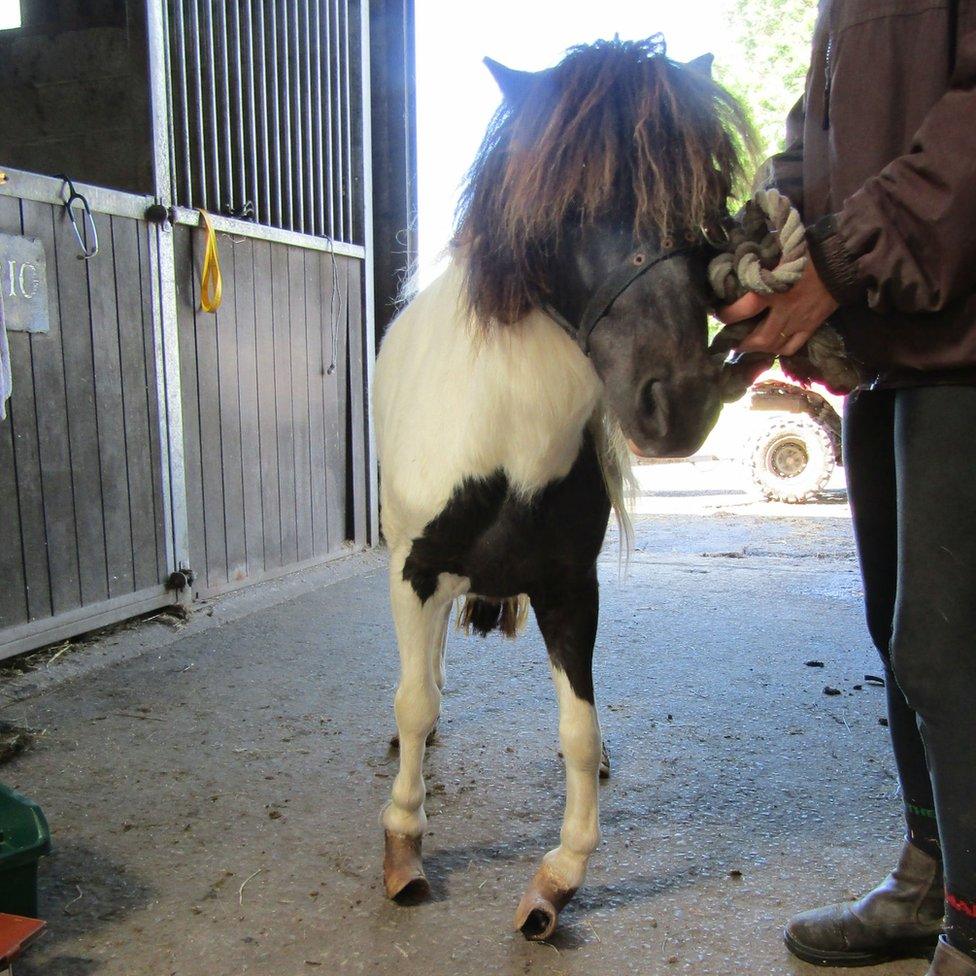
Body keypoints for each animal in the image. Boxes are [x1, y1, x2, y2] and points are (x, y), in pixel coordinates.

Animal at [374, 36, 756, 936]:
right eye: (570, 204)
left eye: (708, 194)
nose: (680, 401)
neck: (505, 445)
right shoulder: (417, 570)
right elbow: (415, 701)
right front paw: (404, 841)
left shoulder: (567, 587)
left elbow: (579, 730)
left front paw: (558, 880)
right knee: (422, 677)